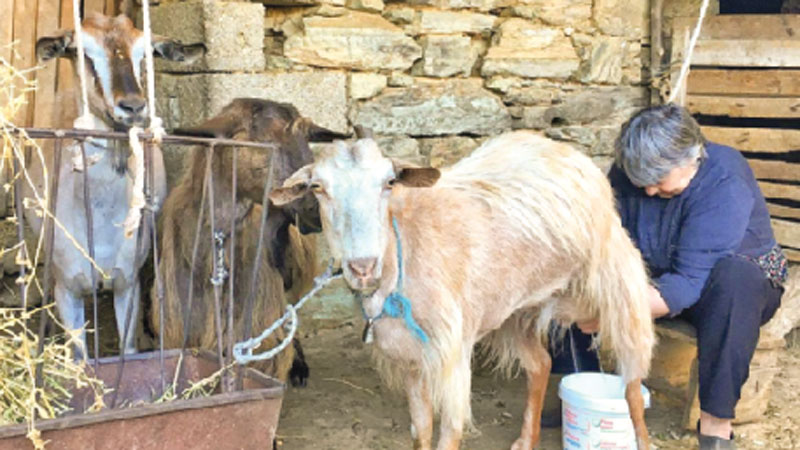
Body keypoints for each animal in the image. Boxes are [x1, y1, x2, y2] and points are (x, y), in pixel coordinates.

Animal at [272, 131, 652, 450]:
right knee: (540, 364)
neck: (403, 254)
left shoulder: (450, 357)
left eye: (389, 182)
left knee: (632, 384)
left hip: (620, 280)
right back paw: (525, 440)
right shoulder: (411, 361)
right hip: (514, 309)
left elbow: (450, 433)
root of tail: (564, 150)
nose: (363, 266)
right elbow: (421, 429)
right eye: (318, 187)